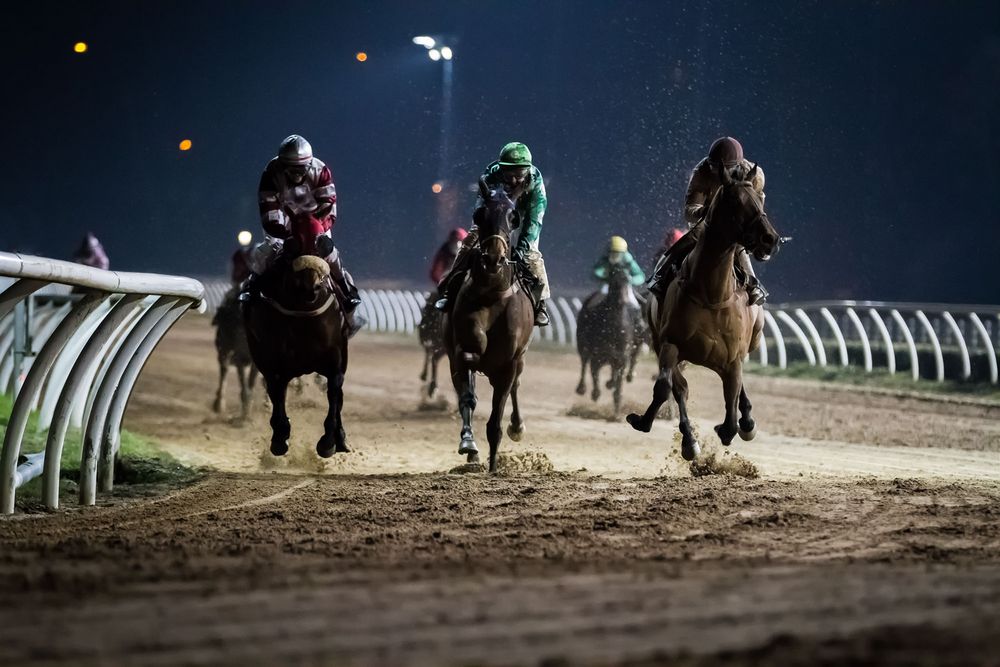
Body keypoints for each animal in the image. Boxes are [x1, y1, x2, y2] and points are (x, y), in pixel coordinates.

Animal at [212, 290, 258, 420]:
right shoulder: (239, 357)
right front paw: (244, 416)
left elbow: (251, 383)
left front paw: (247, 413)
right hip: (223, 349)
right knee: (224, 369)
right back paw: (219, 404)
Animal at [243, 219, 350, 460]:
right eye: (292, 247)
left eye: (323, 246)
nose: (312, 287)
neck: (304, 316)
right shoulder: (272, 362)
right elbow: (276, 392)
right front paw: (280, 438)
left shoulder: (335, 358)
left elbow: (334, 393)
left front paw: (328, 441)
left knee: (338, 395)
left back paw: (340, 438)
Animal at [446, 175, 540, 472]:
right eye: (480, 214)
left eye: (514, 216)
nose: (493, 259)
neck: (491, 293)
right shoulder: (464, 351)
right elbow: (468, 396)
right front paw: (469, 443)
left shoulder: (508, 362)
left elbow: (496, 417)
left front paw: (494, 466)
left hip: (520, 357)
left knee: (517, 385)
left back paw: (517, 427)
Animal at [624, 164, 780, 462]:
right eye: (735, 201)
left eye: (760, 198)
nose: (770, 239)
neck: (712, 294)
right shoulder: (670, 344)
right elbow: (666, 388)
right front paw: (649, 423)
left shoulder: (732, 358)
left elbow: (731, 415)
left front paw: (735, 425)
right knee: (679, 387)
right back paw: (690, 438)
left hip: (750, 341)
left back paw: (747, 421)